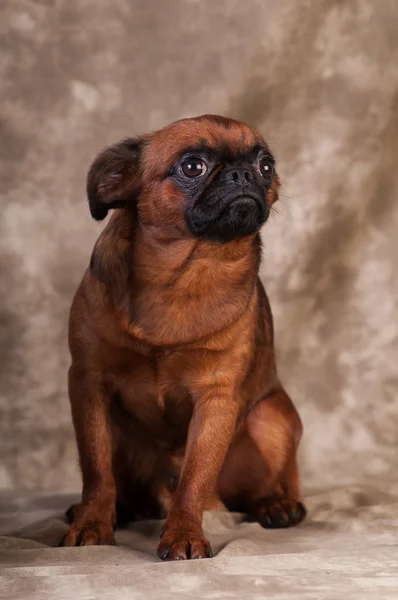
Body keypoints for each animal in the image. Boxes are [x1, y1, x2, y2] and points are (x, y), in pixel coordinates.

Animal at [61, 113, 304, 564]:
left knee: (264, 485)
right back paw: (115, 508)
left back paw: (277, 506)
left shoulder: (216, 399)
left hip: (273, 418)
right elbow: (96, 469)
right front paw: (92, 525)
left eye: (266, 166)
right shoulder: (88, 383)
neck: (187, 274)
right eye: (193, 167)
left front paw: (184, 534)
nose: (244, 174)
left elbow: (195, 477)